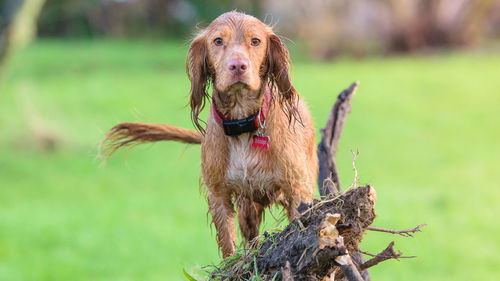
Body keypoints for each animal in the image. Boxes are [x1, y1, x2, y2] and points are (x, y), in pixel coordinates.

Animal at [103, 12, 318, 258]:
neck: (241, 122)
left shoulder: (297, 190)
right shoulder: (219, 195)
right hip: (247, 208)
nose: (238, 66)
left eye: (255, 41)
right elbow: (229, 248)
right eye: (218, 41)